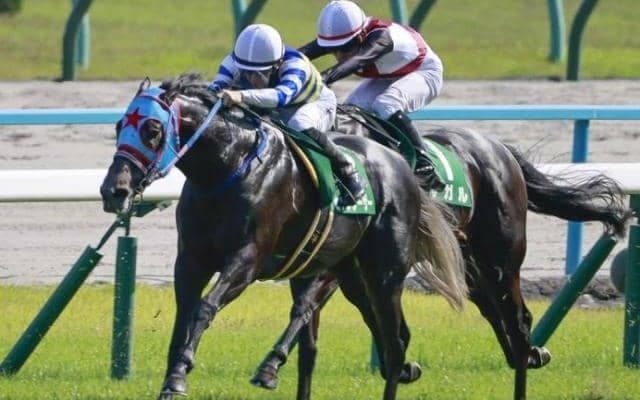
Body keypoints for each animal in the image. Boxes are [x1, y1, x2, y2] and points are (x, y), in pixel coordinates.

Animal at [99, 73, 467, 400]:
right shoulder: (191, 260)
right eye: (119, 127)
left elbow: (205, 307)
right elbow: (184, 319)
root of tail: (402, 164)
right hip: (347, 271)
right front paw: (173, 377)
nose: (114, 190)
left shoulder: (247, 258)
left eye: (152, 130)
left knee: (392, 343)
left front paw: (180, 374)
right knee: (372, 330)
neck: (227, 168)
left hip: (385, 272)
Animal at [249, 106, 633, 400]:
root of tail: (500, 148)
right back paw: (528, 353)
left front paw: (271, 366)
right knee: (491, 305)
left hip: (496, 250)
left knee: (511, 309)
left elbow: (309, 306)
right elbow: (316, 320)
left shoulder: (341, 262)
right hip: (465, 258)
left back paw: (527, 352)